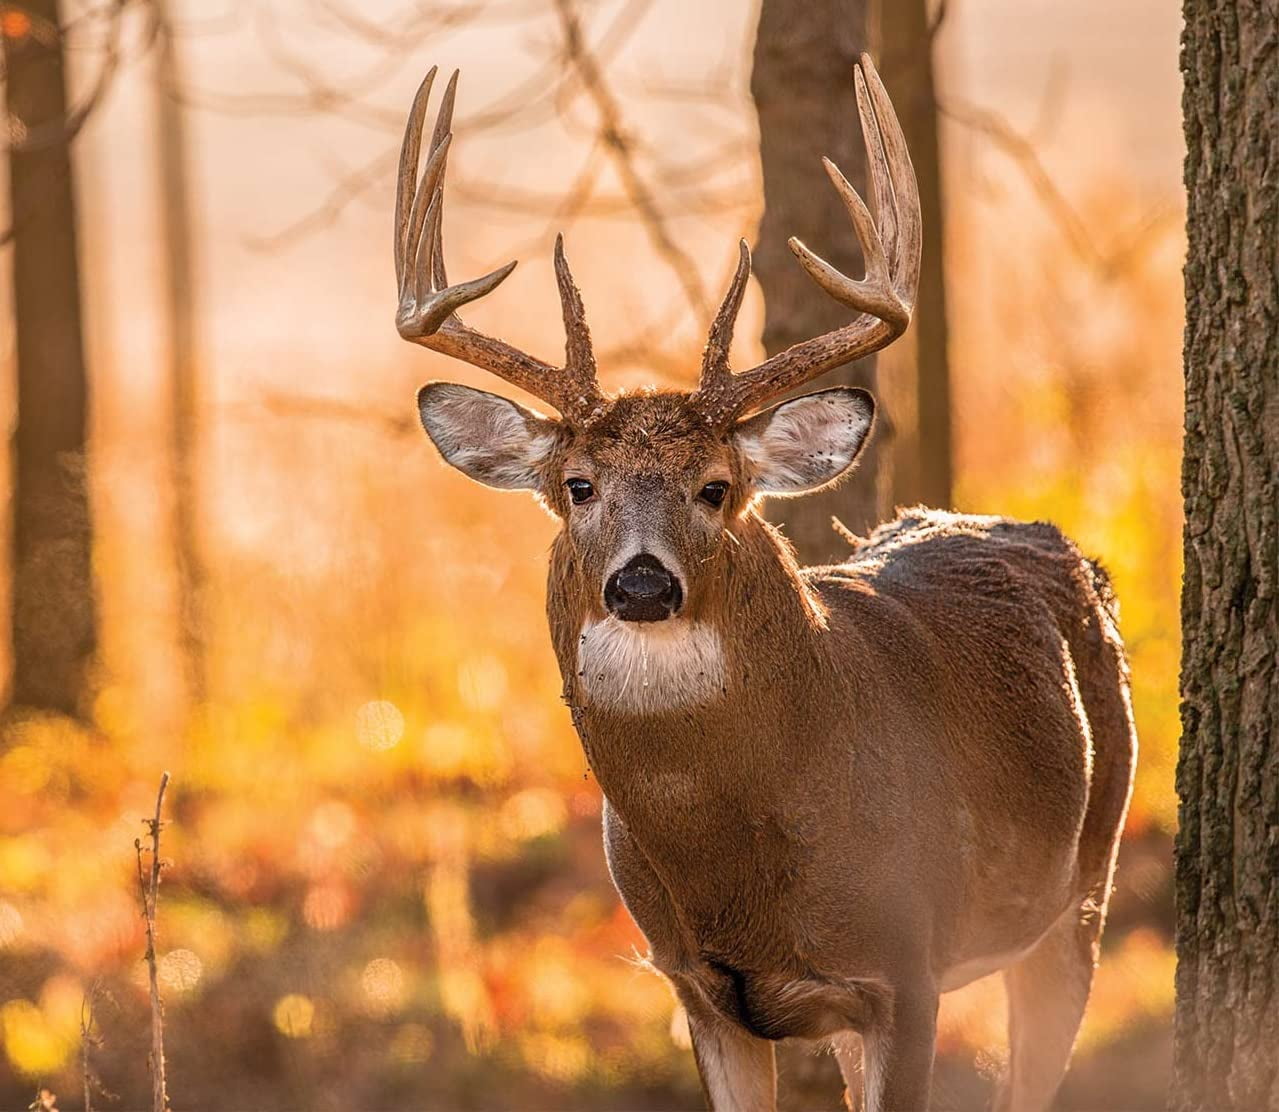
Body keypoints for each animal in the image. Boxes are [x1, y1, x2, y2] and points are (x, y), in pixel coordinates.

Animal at [392, 57, 1137, 1112]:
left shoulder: (904, 971)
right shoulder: (696, 987)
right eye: (577, 486)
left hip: (1083, 885)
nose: (643, 584)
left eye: (716, 488)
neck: (734, 866)